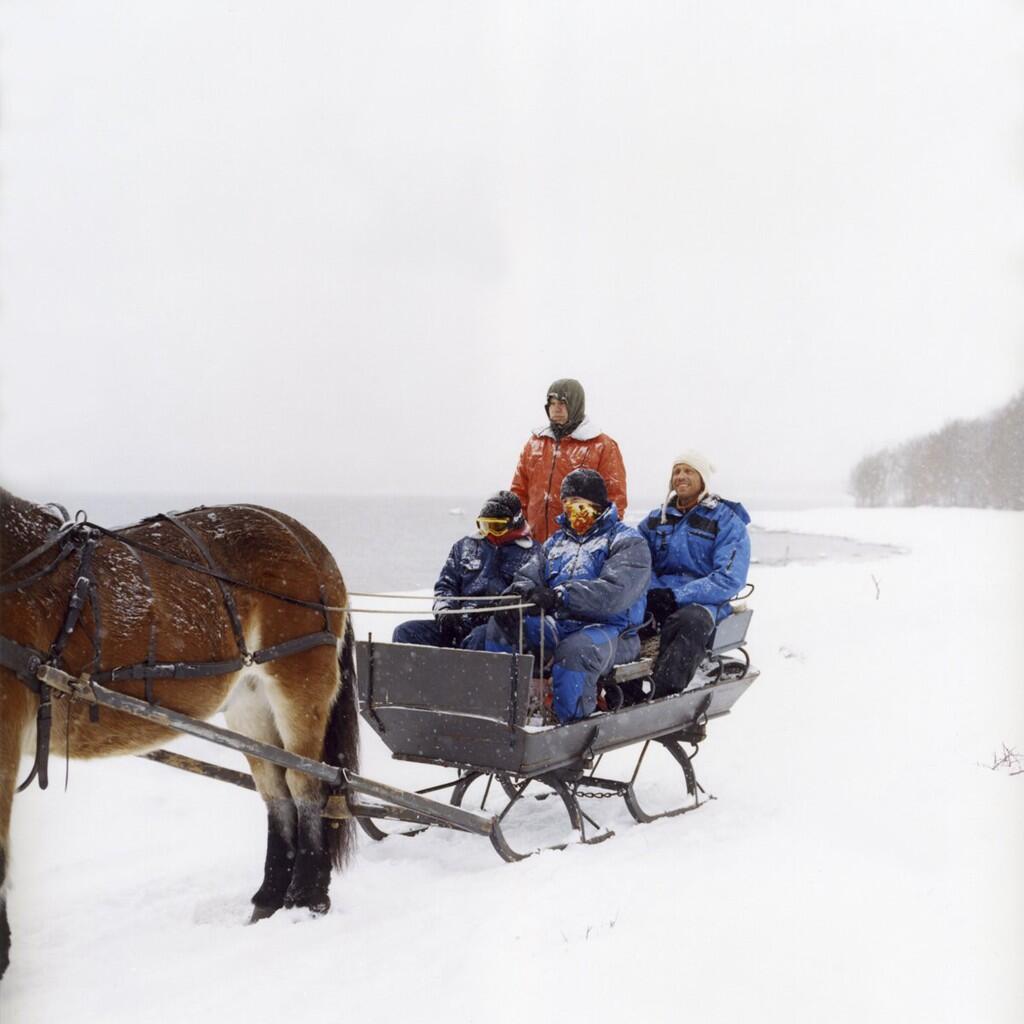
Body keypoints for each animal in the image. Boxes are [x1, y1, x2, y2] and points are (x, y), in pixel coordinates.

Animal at [0, 491, 360, 978]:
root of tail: (307, 539)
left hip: (298, 686)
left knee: (307, 786)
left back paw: (308, 900)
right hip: (249, 706)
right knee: (276, 793)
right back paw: (269, 900)